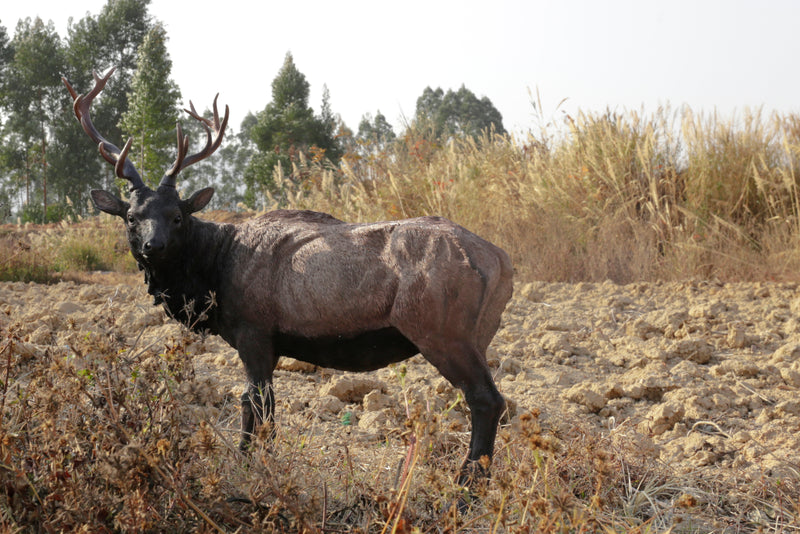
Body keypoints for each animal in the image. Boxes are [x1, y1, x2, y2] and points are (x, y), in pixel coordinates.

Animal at [61, 67, 512, 490]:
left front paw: (248, 466)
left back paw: (467, 487)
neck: (212, 276)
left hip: (441, 329)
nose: (152, 246)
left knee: (487, 399)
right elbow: (263, 405)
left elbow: (255, 404)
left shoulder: (254, 331)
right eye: (131, 217)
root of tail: (502, 262)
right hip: (477, 336)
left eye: (177, 216)